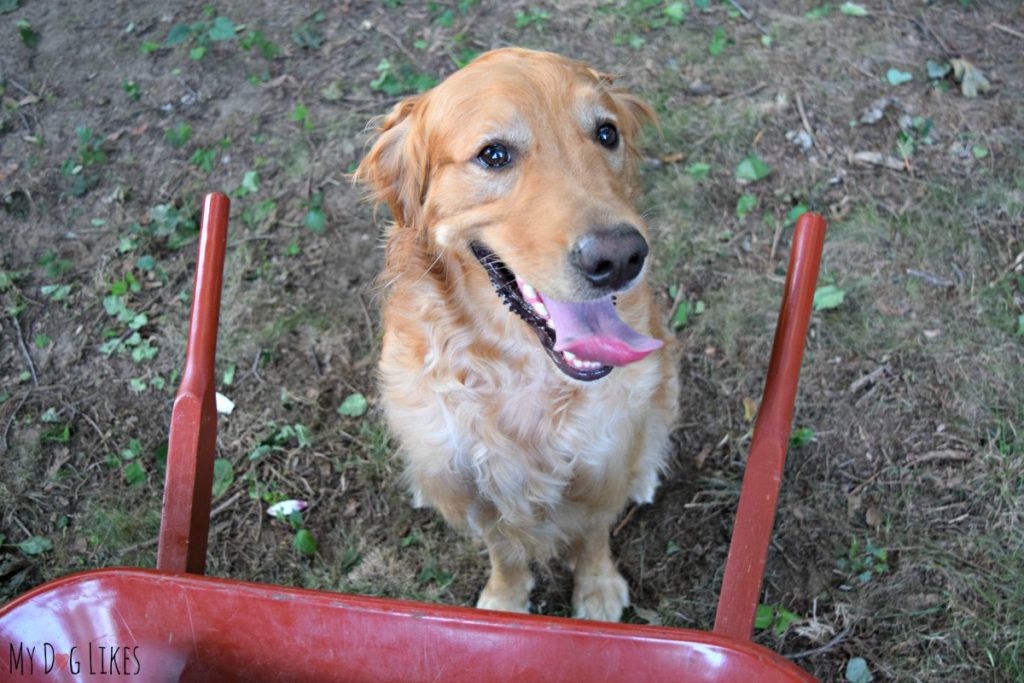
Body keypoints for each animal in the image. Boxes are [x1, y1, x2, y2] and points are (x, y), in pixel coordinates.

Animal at [356, 46, 675, 626]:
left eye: (607, 133)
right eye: (495, 155)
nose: (621, 257)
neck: (523, 370)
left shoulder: (603, 461)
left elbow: (594, 534)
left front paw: (597, 590)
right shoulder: (478, 490)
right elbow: (504, 549)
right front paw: (505, 601)